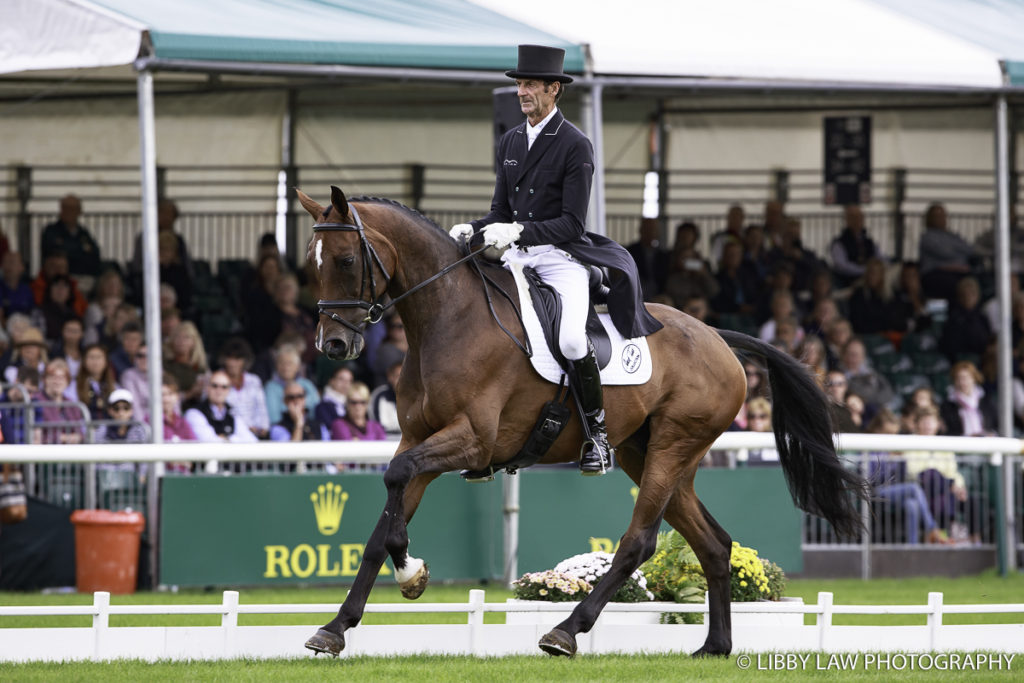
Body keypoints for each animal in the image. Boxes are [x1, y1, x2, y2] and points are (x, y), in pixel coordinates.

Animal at [296, 185, 864, 655]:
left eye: (346, 260)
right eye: (310, 265)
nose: (333, 345)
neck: (447, 317)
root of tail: (717, 337)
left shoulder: (473, 441)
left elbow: (396, 481)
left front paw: (409, 570)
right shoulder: (417, 438)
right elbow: (383, 519)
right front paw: (344, 622)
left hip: (672, 447)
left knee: (639, 542)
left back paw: (566, 631)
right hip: (648, 453)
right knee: (713, 544)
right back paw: (714, 647)